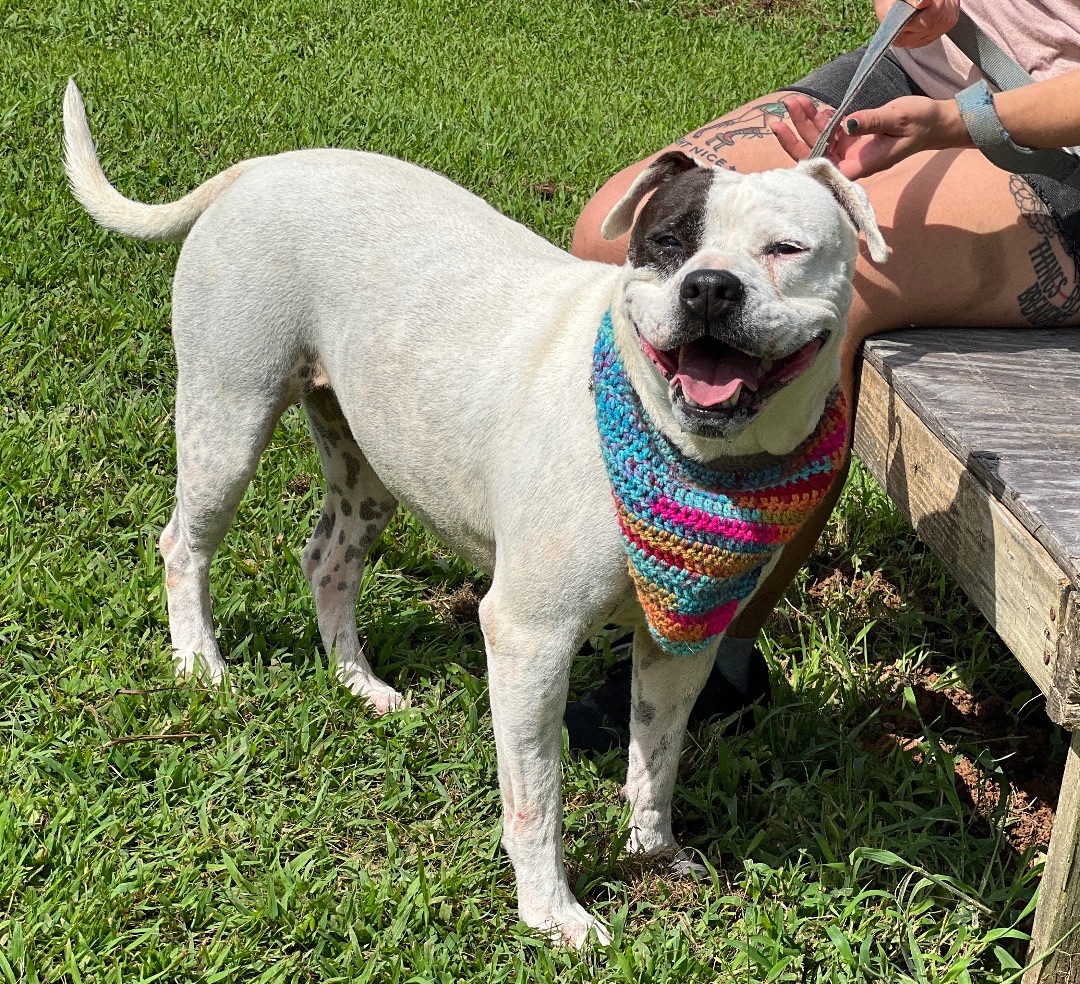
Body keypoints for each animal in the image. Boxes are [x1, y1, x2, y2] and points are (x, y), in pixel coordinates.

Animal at [61, 82, 885, 946]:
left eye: (787, 248)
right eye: (666, 241)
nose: (710, 287)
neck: (687, 453)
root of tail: (260, 167)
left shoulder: (682, 644)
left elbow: (654, 756)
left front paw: (654, 853)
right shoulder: (530, 638)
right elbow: (538, 798)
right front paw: (551, 911)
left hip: (367, 465)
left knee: (328, 560)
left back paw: (359, 683)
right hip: (228, 419)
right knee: (183, 543)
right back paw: (199, 662)